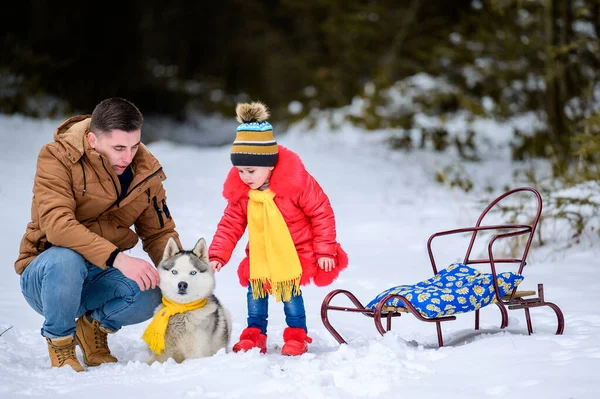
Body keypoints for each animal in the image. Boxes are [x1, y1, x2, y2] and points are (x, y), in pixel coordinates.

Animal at [146, 238, 232, 366]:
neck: (181, 310)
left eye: (193, 272)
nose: (182, 284)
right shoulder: (161, 355)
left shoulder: (196, 355)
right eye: (174, 272)